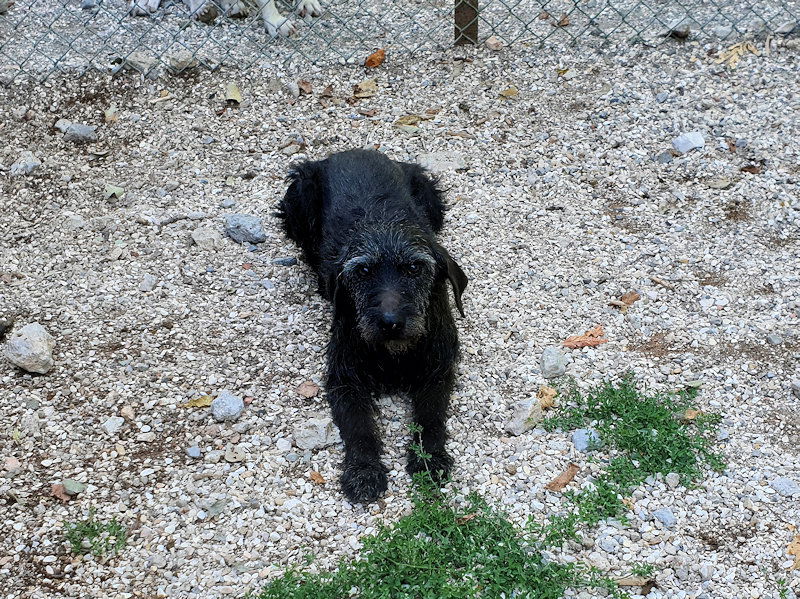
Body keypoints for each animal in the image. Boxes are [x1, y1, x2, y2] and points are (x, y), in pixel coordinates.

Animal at [277, 149, 468, 503]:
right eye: (363, 271)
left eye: (414, 267)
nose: (390, 323)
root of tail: (353, 151)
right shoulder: (344, 380)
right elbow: (359, 427)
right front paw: (364, 471)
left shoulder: (437, 372)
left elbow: (431, 417)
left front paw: (430, 458)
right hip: (300, 195)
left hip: (431, 195)